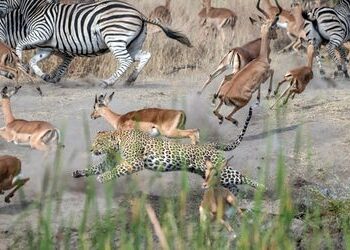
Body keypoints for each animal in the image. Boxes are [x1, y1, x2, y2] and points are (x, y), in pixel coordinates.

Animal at [0, 0, 191, 86]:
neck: (35, 10)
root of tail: (139, 14)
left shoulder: (42, 31)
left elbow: (20, 45)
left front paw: (21, 63)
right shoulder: (45, 45)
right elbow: (34, 60)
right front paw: (42, 75)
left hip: (114, 38)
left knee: (125, 60)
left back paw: (108, 82)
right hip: (132, 43)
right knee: (145, 55)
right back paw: (131, 79)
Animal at [72, 107, 262, 193]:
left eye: (99, 143)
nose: (91, 150)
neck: (118, 139)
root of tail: (210, 145)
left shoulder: (134, 163)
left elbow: (114, 171)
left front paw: (102, 178)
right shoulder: (111, 160)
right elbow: (96, 168)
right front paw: (78, 172)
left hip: (221, 169)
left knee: (241, 177)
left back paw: (262, 188)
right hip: (211, 174)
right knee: (233, 184)